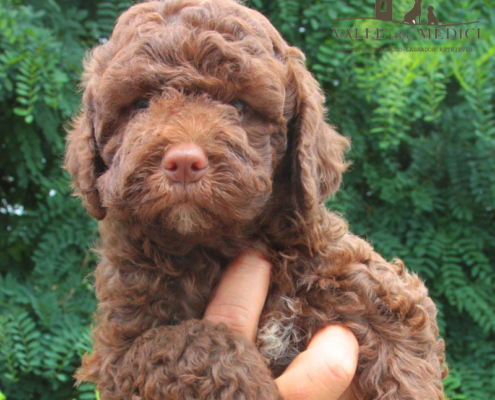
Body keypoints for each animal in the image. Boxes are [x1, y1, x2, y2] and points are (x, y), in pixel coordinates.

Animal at [64, 0, 448, 396]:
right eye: (141, 103)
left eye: (238, 105)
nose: (184, 162)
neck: (212, 243)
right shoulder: (119, 350)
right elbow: (189, 341)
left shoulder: (358, 277)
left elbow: (398, 337)